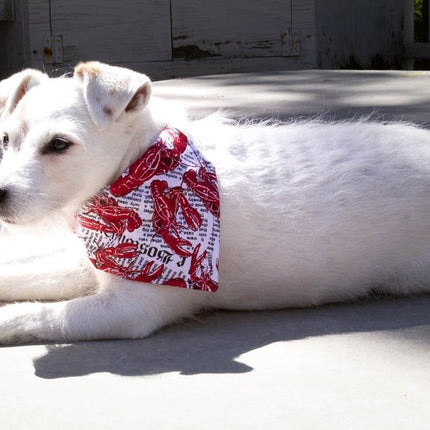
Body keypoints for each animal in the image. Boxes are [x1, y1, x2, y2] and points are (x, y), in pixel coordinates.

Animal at [0, 61, 430, 346]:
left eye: (59, 144)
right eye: (6, 140)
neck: (137, 170)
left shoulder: (129, 308)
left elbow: (39, 314)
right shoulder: (89, 262)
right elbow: (21, 272)